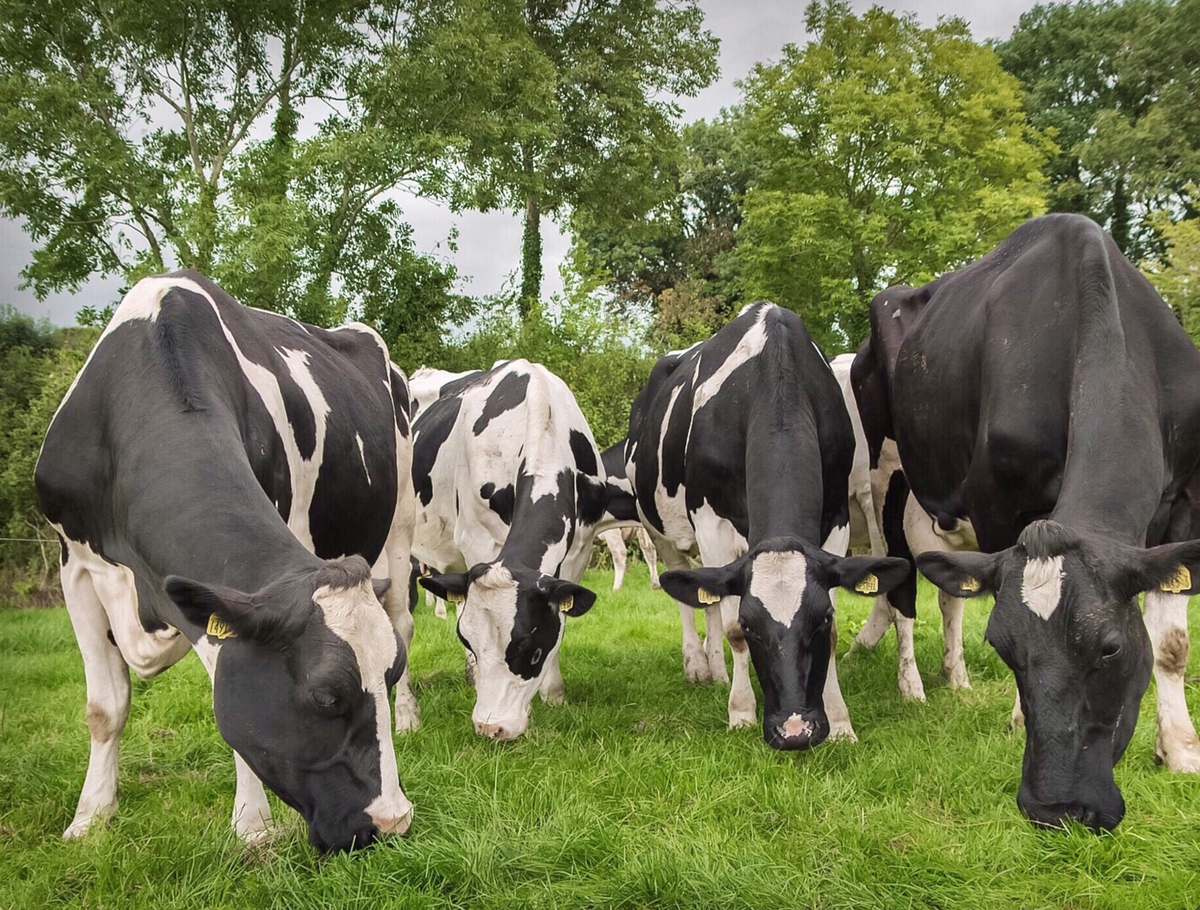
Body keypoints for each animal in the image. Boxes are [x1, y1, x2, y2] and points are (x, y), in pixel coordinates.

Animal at [35, 271, 420, 854]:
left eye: (388, 671)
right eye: (326, 696)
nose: (392, 823)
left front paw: (253, 826)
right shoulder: (74, 566)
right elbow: (104, 707)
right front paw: (91, 817)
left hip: (399, 529)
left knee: (404, 617)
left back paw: (409, 719)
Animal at [410, 357, 604, 739]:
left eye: (532, 651)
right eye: (467, 640)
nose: (491, 727)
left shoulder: (580, 547)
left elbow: (561, 618)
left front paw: (554, 693)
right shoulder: (478, 539)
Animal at [628, 302, 907, 753]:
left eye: (822, 618)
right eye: (751, 626)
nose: (795, 730)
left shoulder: (836, 519)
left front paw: (841, 722)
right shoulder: (711, 522)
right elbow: (726, 625)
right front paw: (740, 712)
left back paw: (716, 670)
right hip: (658, 528)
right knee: (688, 597)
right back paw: (697, 666)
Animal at [854, 216, 1200, 835]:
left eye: (1110, 648)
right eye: (1004, 648)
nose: (1055, 807)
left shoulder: (1187, 495)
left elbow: (1171, 644)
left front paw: (1180, 749)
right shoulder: (996, 501)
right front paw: (1017, 717)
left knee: (946, 597)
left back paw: (954, 677)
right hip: (885, 480)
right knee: (902, 594)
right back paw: (911, 685)